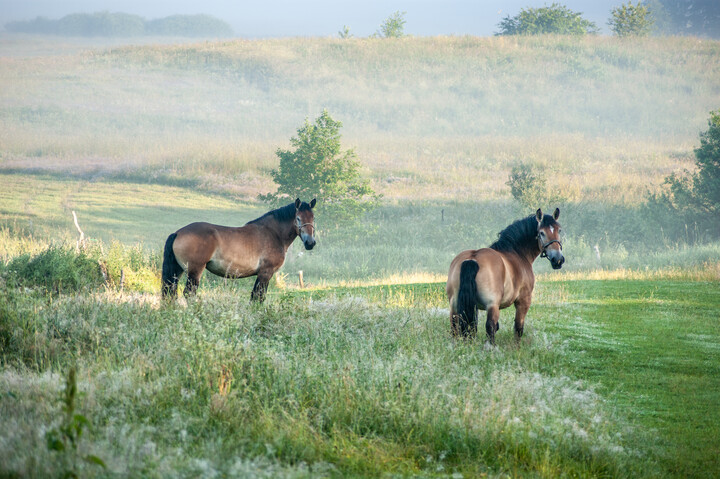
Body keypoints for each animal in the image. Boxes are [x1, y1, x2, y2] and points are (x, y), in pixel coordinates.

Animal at [162, 198, 316, 302]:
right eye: (298, 218)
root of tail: (178, 233)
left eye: (313, 218)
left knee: (170, 292)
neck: (273, 233)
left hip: (177, 271)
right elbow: (258, 297)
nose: (310, 243)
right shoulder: (266, 273)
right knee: (188, 294)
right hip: (194, 271)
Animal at [448, 208, 564, 344]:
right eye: (541, 233)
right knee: (490, 327)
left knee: (455, 326)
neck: (517, 252)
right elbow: (518, 328)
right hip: (492, 306)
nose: (558, 259)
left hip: (455, 306)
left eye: (559, 230)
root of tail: (472, 259)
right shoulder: (523, 301)